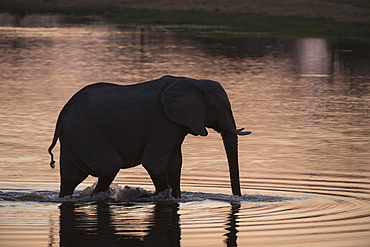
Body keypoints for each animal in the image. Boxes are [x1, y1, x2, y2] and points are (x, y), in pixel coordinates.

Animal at [47, 75, 251, 199]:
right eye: (222, 106)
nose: (237, 198)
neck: (193, 81)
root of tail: (60, 119)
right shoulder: (163, 121)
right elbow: (154, 161)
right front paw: (163, 196)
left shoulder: (176, 124)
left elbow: (175, 164)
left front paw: (177, 197)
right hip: (87, 131)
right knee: (111, 163)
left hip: (75, 136)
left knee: (71, 177)